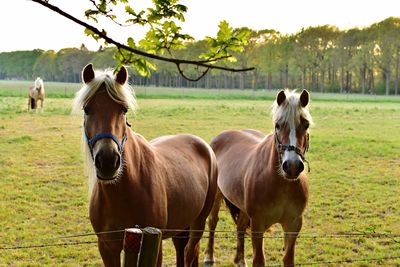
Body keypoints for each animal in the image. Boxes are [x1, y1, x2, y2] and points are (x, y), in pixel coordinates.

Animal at [73, 65, 220, 267]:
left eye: (123, 109)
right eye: (87, 109)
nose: (108, 161)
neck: (124, 192)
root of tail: (204, 146)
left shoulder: (154, 246)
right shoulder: (107, 247)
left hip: (198, 223)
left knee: (190, 251)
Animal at [205, 90, 314, 267]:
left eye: (306, 124)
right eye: (278, 124)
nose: (292, 166)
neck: (281, 184)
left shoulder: (293, 224)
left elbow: (288, 259)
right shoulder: (258, 224)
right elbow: (259, 260)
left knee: (240, 226)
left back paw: (240, 260)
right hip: (217, 196)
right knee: (213, 222)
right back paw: (209, 257)